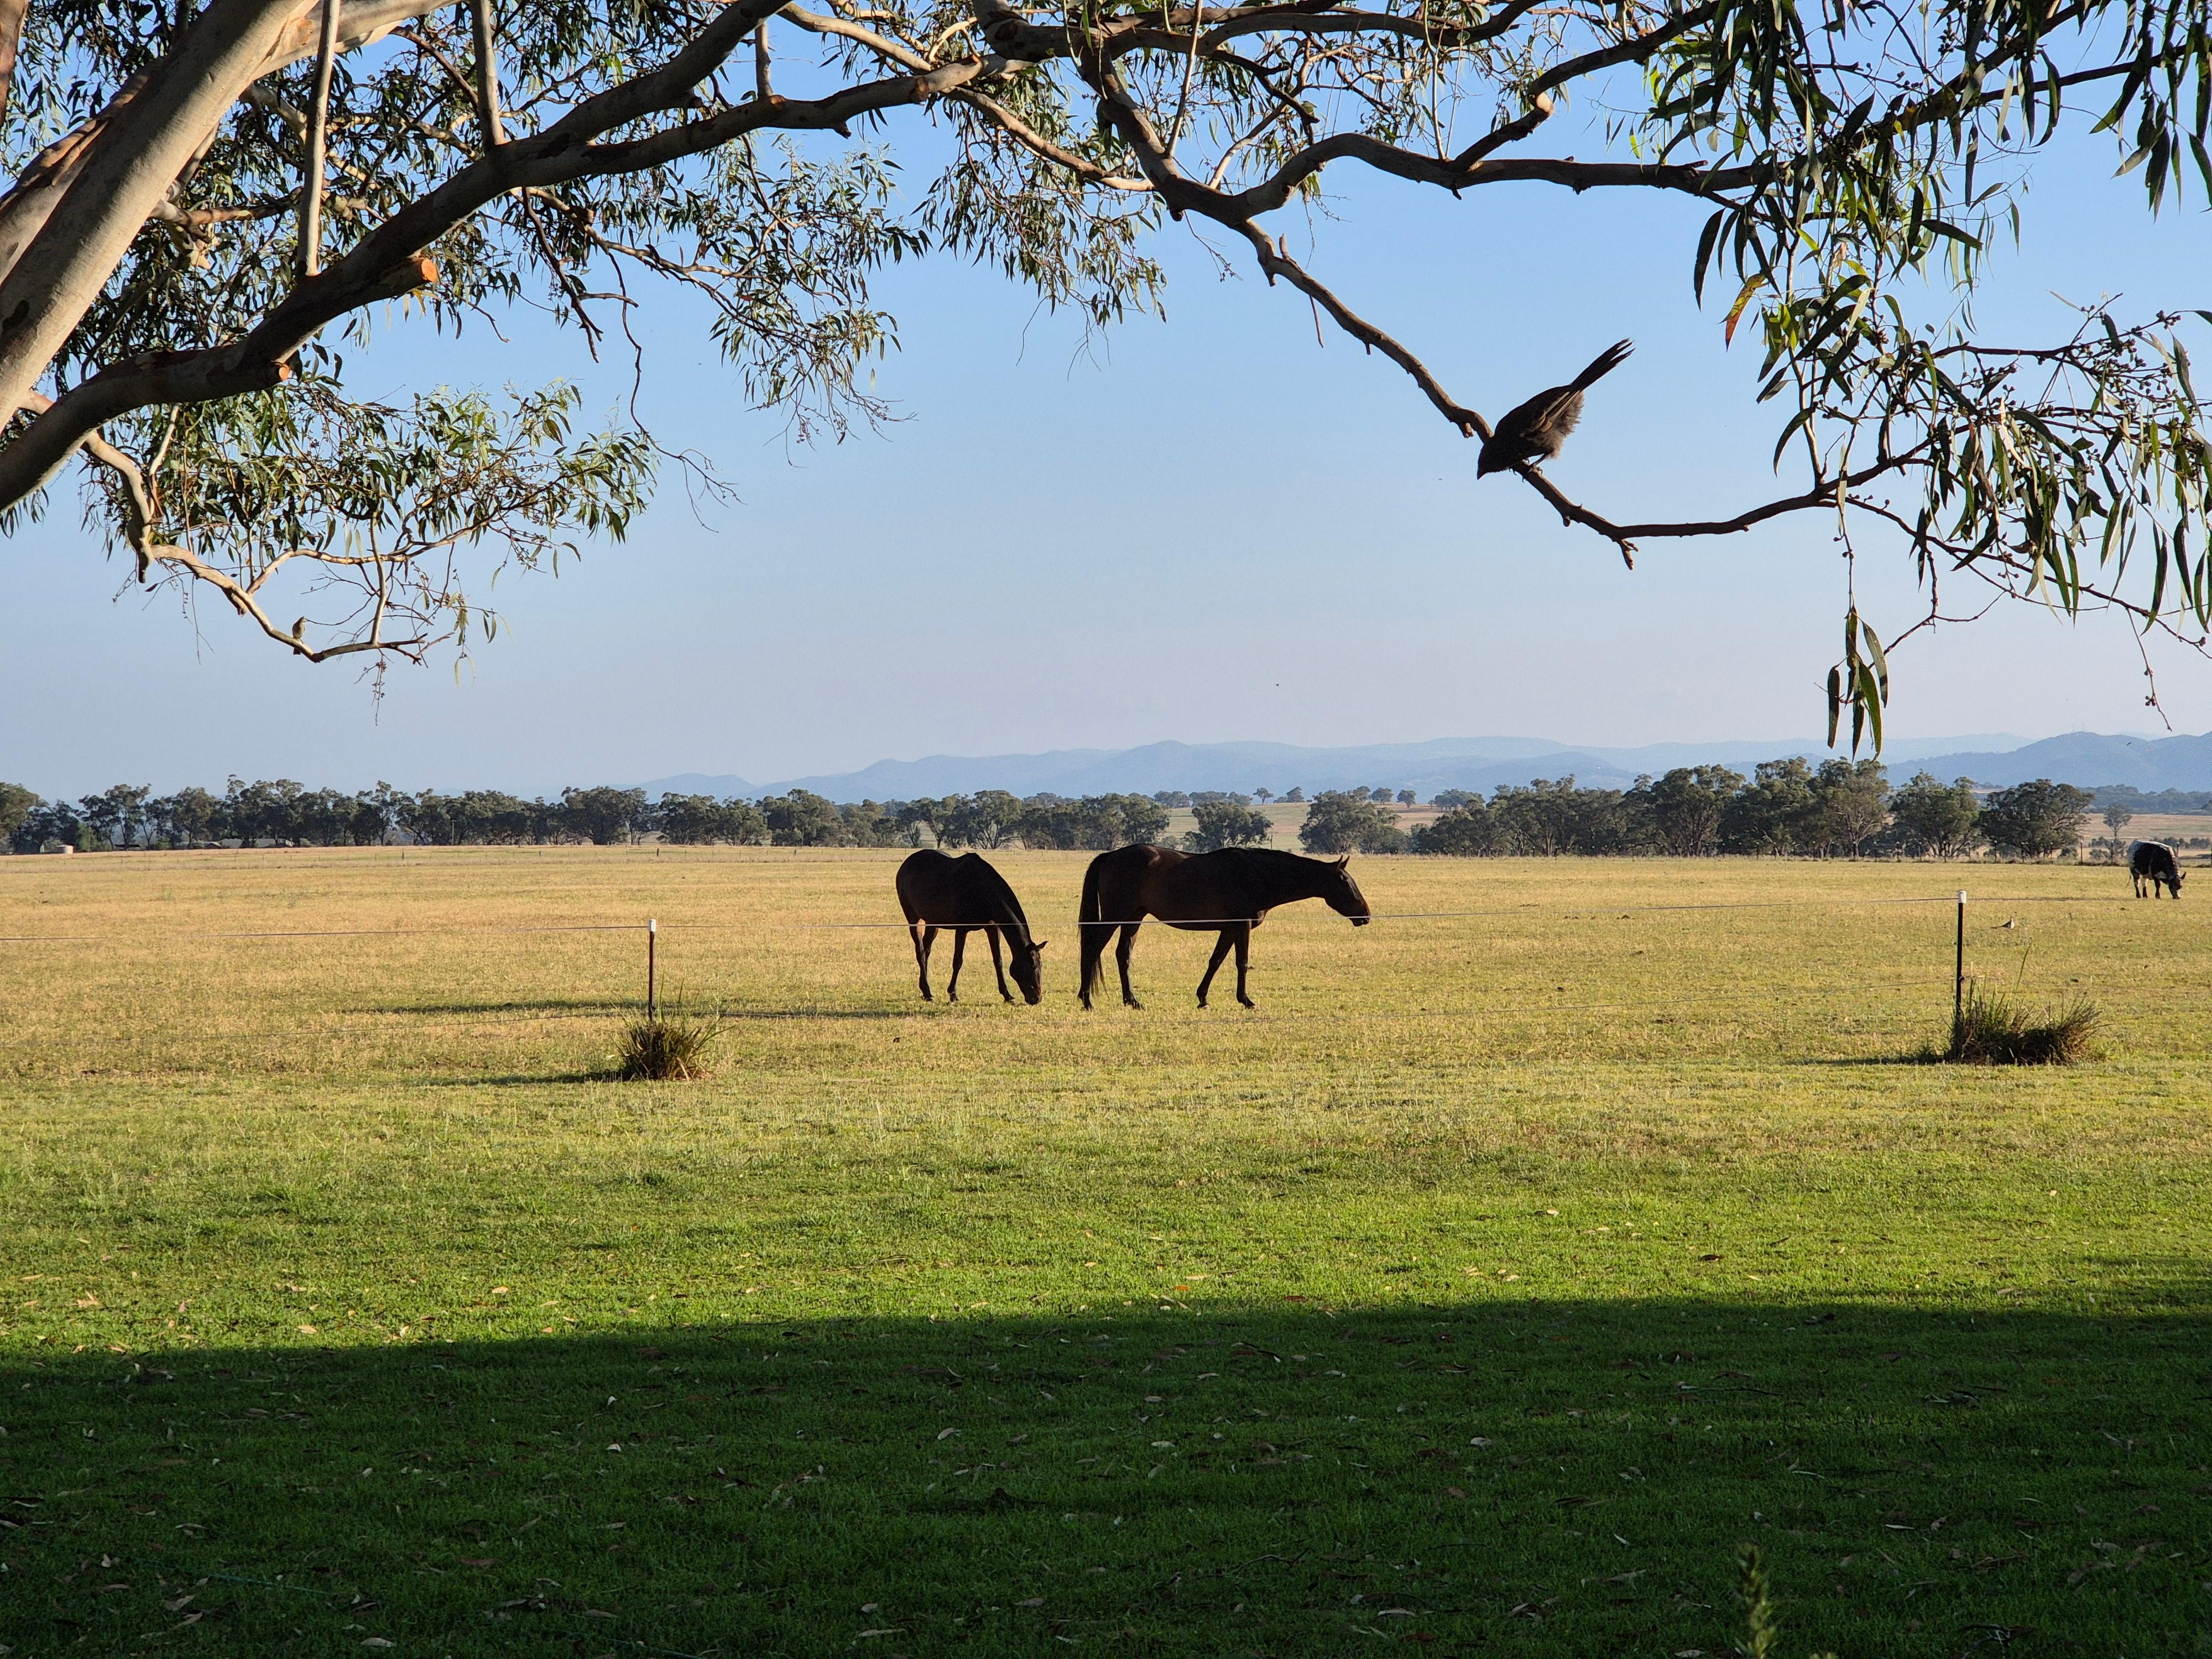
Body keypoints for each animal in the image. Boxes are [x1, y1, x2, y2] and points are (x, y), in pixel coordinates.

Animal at [895, 849, 1048, 1004]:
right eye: (1032, 965)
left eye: (1040, 965)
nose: (1036, 998)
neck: (981, 889)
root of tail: (906, 864)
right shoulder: (962, 930)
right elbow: (958, 961)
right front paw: (953, 994)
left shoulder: (993, 929)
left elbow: (998, 961)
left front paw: (1007, 995)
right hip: (915, 920)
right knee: (920, 952)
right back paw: (927, 992)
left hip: (933, 923)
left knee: (926, 950)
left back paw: (926, 991)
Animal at [1077, 844, 1370, 1010]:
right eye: (1345, 882)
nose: (1366, 916)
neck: (1257, 874)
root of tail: (1109, 856)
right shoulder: (1242, 927)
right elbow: (1242, 962)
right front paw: (1247, 1001)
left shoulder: (1229, 929)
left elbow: (1216, 960)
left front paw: (1202, 999)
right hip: (1116, 917)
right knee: (1092, 950)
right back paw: (1087, 1000)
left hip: (1134, 918)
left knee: (1123, 955)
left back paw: (1133, 1001)